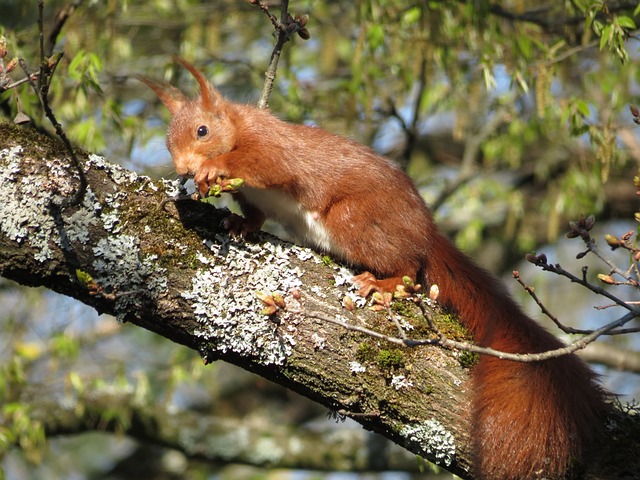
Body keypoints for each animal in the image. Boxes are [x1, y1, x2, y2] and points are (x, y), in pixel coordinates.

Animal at [139, 60, 604, 480]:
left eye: (202, 131)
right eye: (166, 141)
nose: (183, 169)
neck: (239, 125)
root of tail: (425, 234)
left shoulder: (274, 148)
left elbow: (265, 164)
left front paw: (214, 170)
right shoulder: (254, 196)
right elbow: (253, 213)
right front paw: (236, 222)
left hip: (356, 220)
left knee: (411, 266)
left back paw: (386, 283)